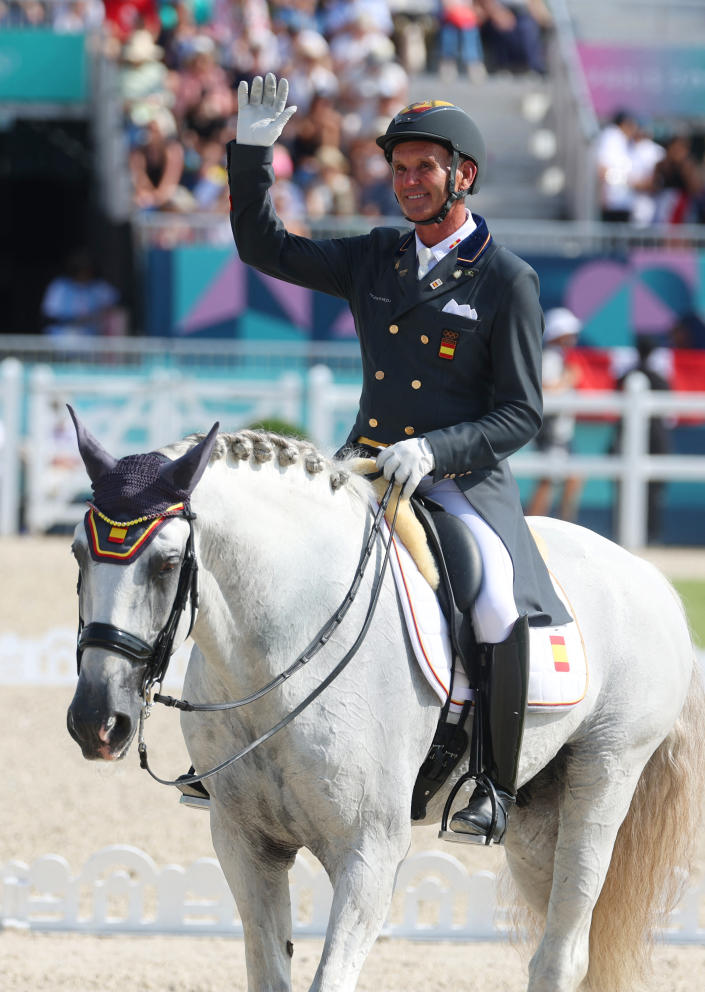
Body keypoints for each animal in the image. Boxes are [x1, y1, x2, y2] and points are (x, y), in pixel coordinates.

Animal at [67, 420, 704, 992]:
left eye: (168, 562)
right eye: (77, 553)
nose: (97, 722)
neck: (283, 653)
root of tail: (651, 578)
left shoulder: (369, 851)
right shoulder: (246, 843)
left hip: (605, 776)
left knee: (562, 954)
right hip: (535, 815)